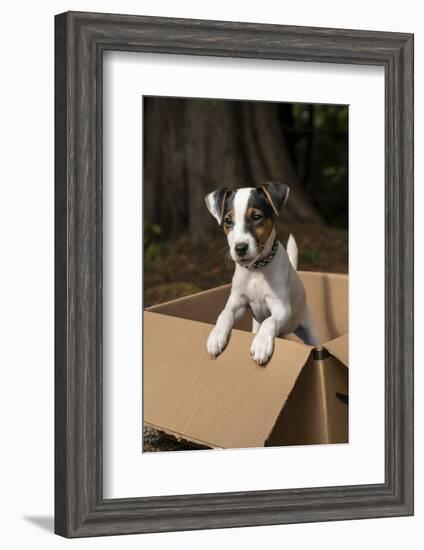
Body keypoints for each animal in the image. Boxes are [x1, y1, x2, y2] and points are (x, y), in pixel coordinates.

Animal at [205, 183, 318, 368]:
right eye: (228, 221)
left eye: (257, 217)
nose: (240, 248)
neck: (256, 270)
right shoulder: (238, 302)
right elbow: (224, 314)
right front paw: (216, 336)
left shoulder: (281, 307)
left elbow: (269, 320)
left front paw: (261, 344)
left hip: (310, 330)